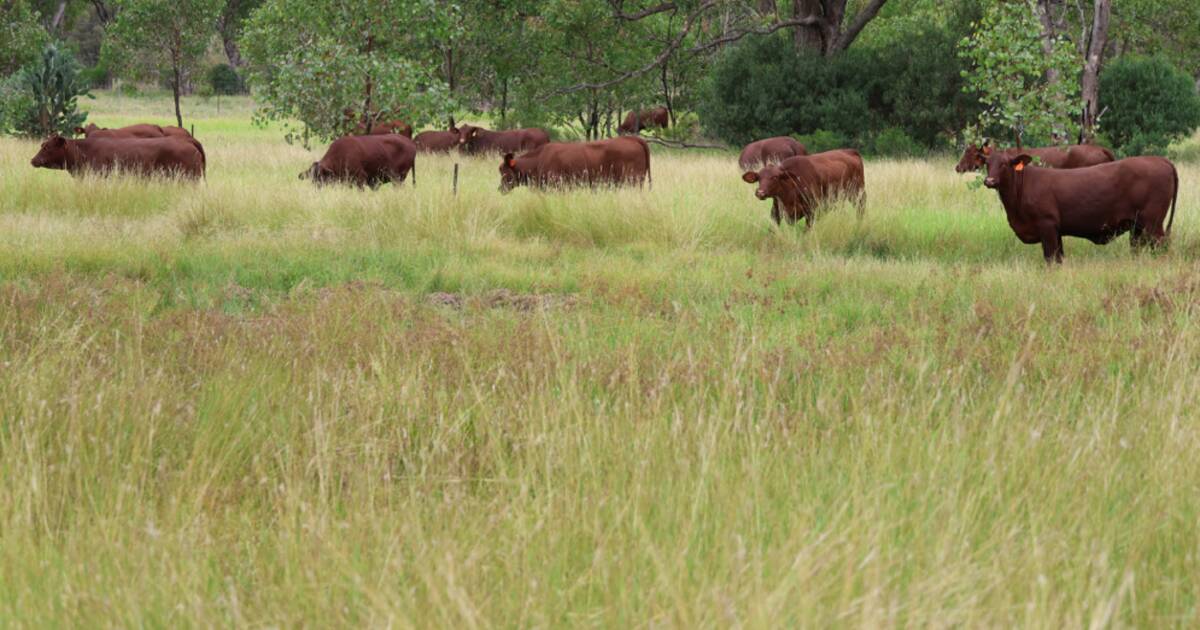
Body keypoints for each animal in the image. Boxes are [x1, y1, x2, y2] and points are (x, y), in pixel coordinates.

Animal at [984, 150, 1180, 262]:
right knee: (1137, 247)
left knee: (1161, 245)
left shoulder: (1046, 225)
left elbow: (1051, 258)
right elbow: (1059, 257)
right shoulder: (1056, 231)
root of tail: (1161, 160)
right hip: (1137, 226)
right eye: (987, 164)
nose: (989, 181)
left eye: (1004, 164)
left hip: (1153, 222)